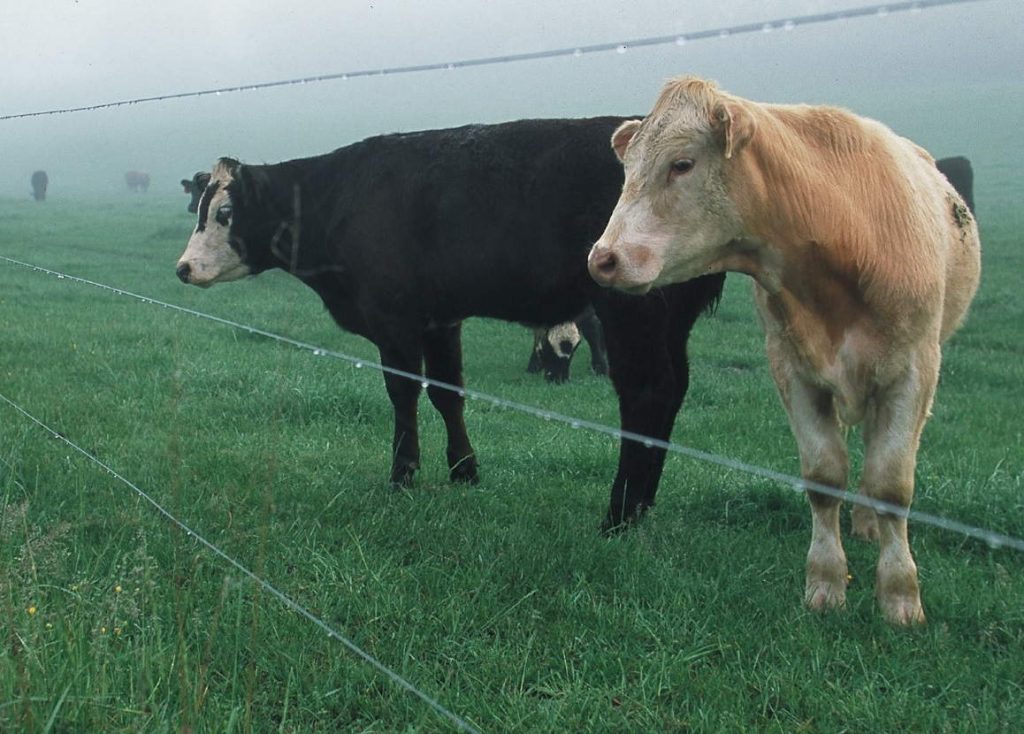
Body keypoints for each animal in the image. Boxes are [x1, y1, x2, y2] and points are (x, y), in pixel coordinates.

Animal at [593, 75, 983, 622]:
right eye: (628, 168)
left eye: (682, 164)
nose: (603, 258)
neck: (844, 233)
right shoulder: (793, 370)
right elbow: (823, 474)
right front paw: (825, 584)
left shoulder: (912, 371)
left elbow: (891, 482)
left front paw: (901, 596)